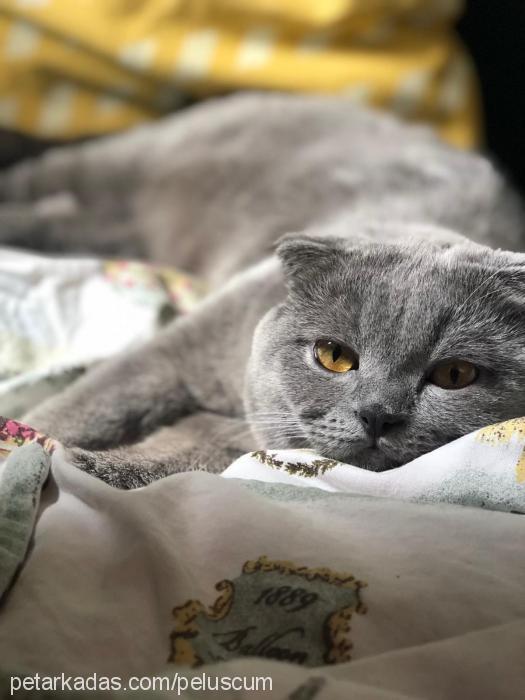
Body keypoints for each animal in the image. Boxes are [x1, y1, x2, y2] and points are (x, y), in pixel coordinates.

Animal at [1, 93, 524, 486]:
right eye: (333, 356)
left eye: (455, 375)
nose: (378, 415)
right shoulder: (174, 353)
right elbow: (88, 405)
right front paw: (28, 445)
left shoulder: (238, 438)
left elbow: (174, 457)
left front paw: (79, 465)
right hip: (120, 165)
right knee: (46, 175)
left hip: (119, 226)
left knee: (62, 217)